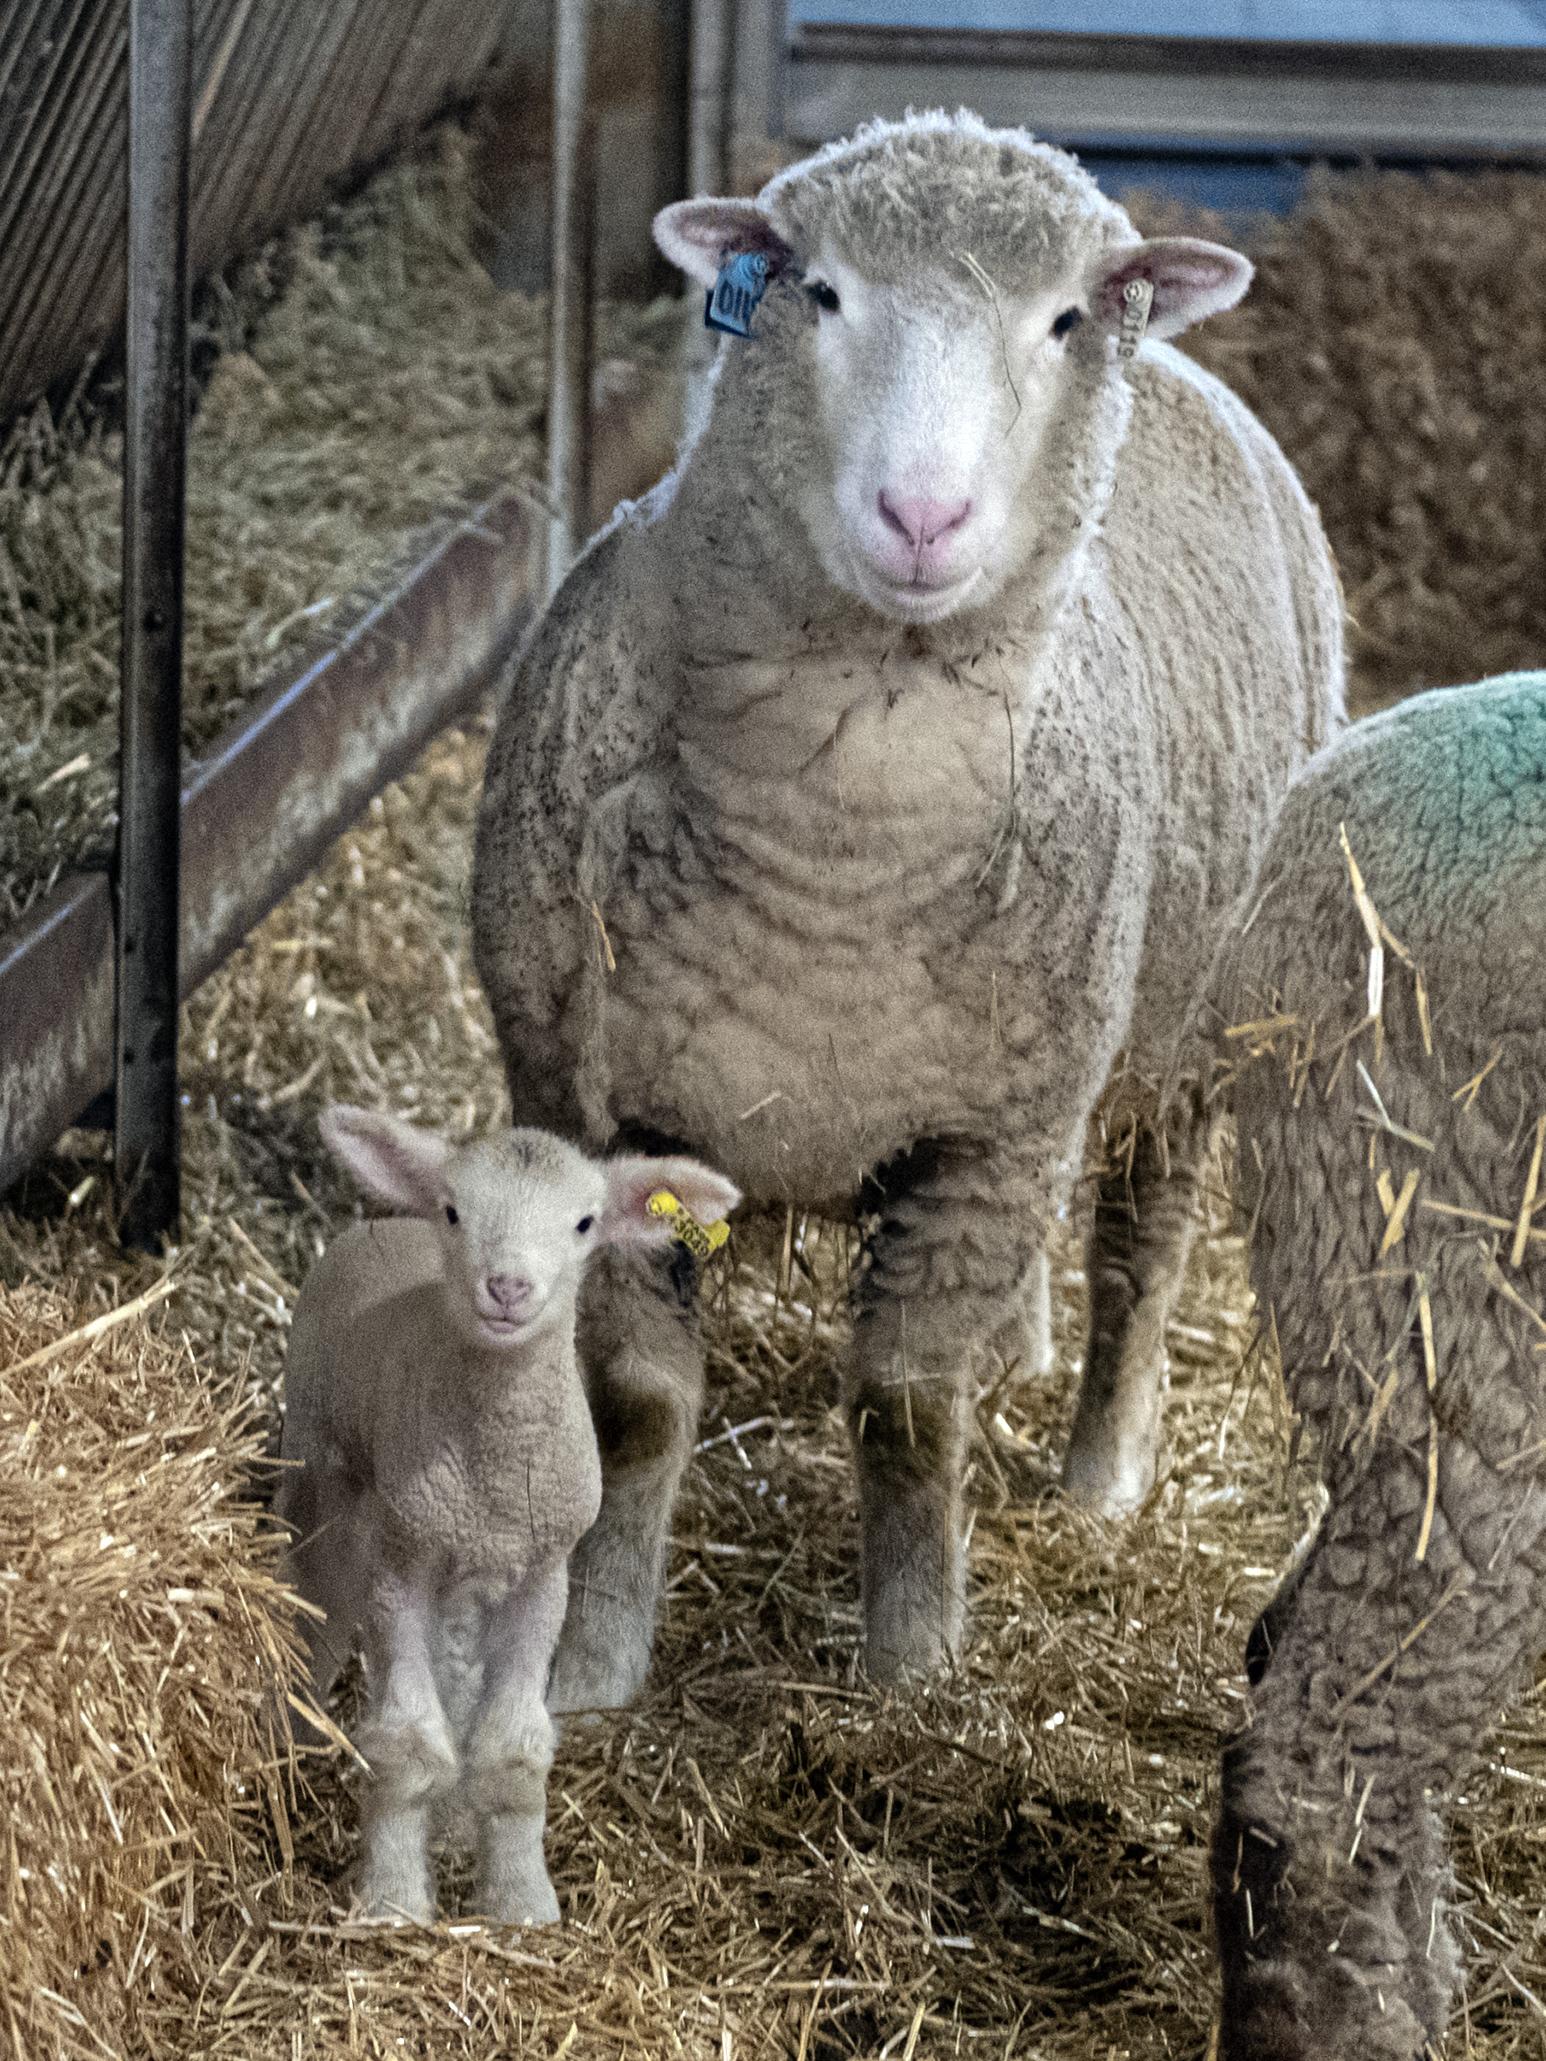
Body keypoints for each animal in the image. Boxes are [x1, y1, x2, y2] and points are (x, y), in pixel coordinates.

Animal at [274, 1104, 740, 1925]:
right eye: (455, 1211)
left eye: (585, 1222)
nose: (508, 1286)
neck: (495, 1462)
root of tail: (387, 1222)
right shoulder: (402, 1563)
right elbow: (407, 1743)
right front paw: (394, 1901)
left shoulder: (541, 1574)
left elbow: (514, 1751)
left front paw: (522, 1901)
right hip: (323, 1469)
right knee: (311, 1598)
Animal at [471, 109, 1345, 1709]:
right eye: (817, 291)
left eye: (1061, 320)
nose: (922, 516)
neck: (833, 872)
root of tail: (1190, 364)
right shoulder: (595, 1106)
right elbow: (633, 1404)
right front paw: (592, 1661)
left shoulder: (989, 1140)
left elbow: (906, 1407)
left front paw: (913, 1667)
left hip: (1181, 1037)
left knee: (1142, 1248)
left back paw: (1102, 1469)